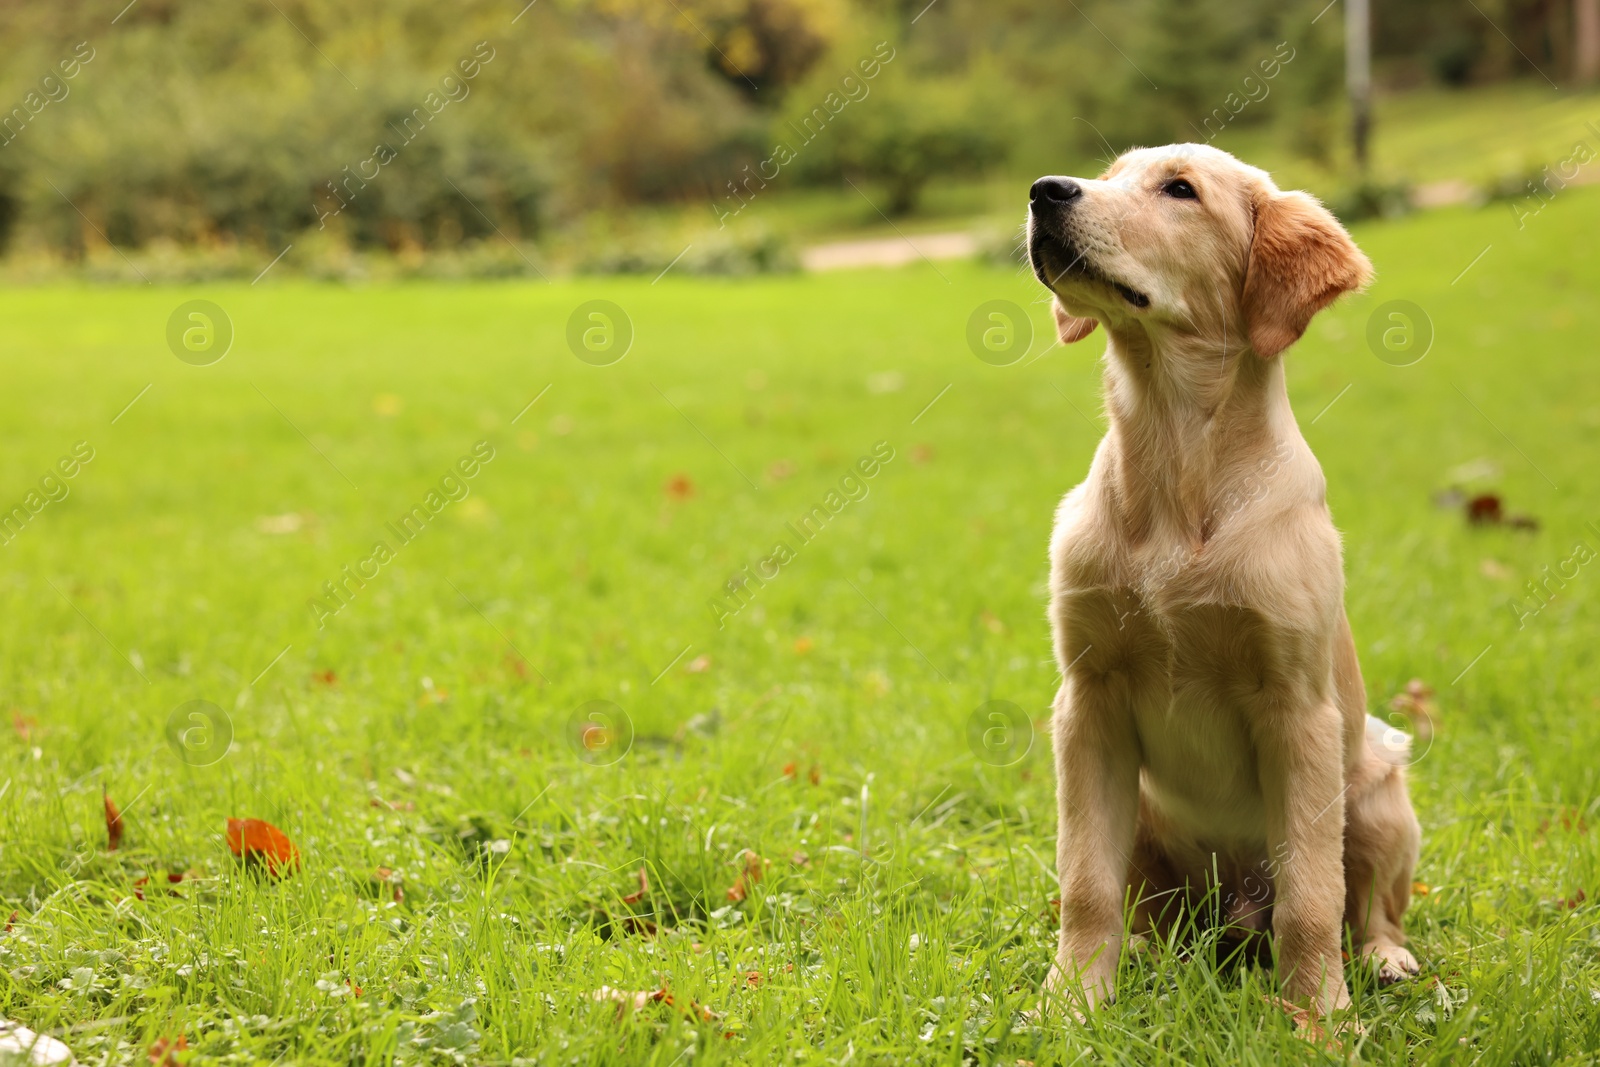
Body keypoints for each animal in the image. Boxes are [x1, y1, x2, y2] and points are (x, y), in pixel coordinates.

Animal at [1024, 141, 1427, 1017]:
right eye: (1109, 173)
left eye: (1180, 190)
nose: (1043, 192)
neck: (1176, 460)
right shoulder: (1088, 701)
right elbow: (1085, 882)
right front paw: (1071, 1004)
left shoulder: (1298, 712)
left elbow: (1312, 899)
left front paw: (1317, 1020)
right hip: (1144, 807)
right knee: (1151, 909)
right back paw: (1145, 953)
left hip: (1377, 788)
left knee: (1369, 905)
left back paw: (1384, 960)